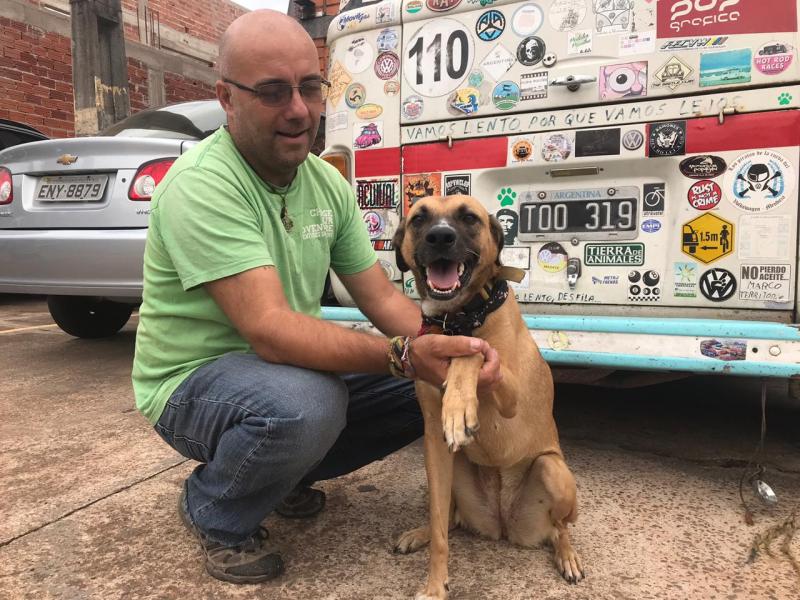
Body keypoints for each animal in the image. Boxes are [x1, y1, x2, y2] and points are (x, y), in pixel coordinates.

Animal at [392, 195, 584, 596]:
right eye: (419, 219)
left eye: (468, 217)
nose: (440, 237)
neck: (457, 317)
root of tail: (503, 527)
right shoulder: (434, 443)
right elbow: (439, 528)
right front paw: (435, 585)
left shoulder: (509, 394)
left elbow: (473, 351)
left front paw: (458, 405)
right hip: (453, 469)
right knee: (448, 518)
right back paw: (421, 533)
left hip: (553, 471)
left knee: (561, 527)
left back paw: (567, 555)